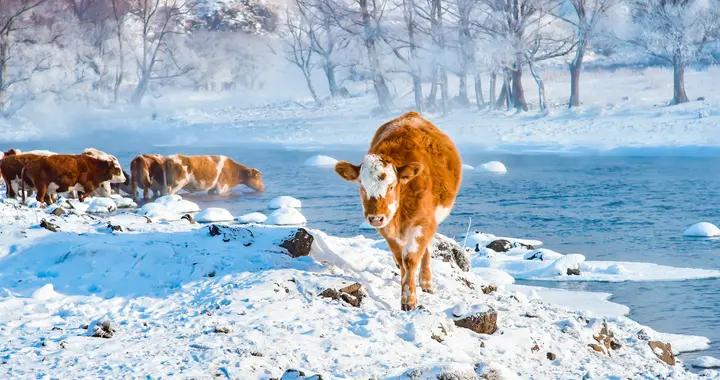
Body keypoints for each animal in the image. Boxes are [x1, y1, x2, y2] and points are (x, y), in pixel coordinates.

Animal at [334, 113, 462, 312]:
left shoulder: (423, 222)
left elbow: (410, 259)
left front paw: (409, 300)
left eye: (391, 186)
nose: (375, 218)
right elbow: (401, 260)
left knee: (426, 249)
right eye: (362, 186)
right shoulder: (387, 229)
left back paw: (426, 282)